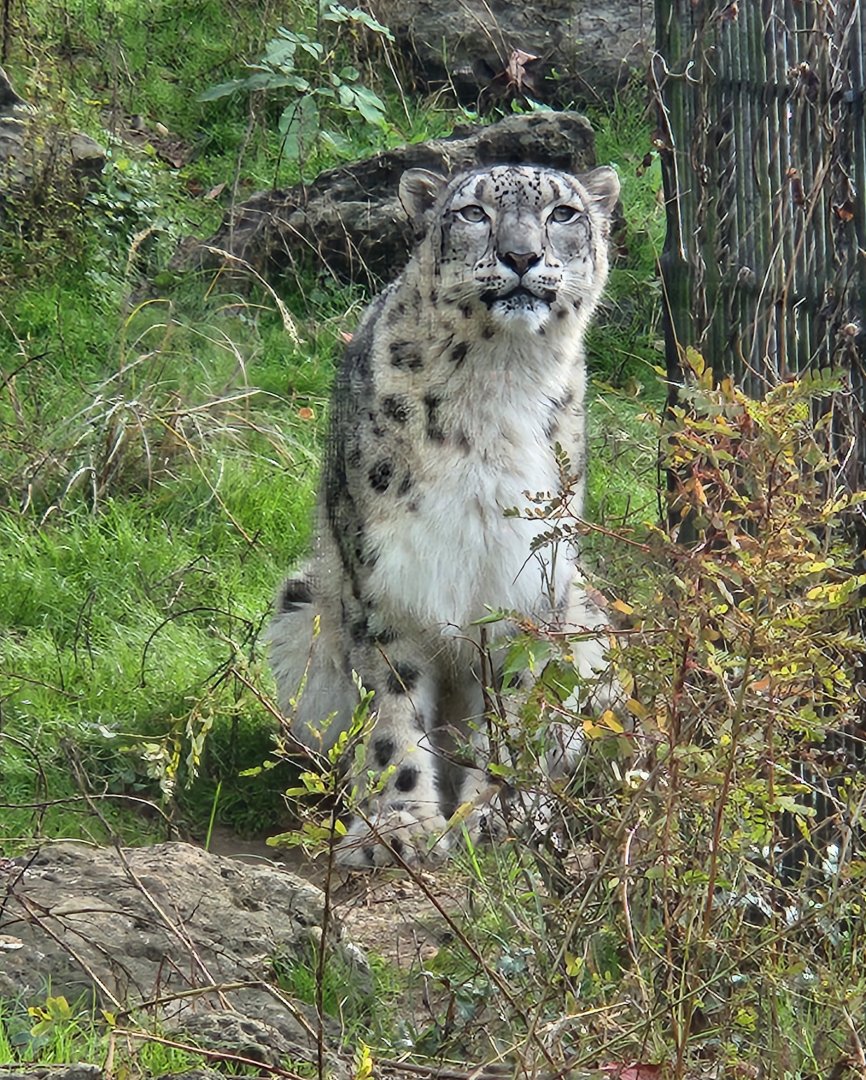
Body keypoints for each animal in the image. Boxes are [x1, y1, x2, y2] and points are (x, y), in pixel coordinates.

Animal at [267, 162, 622, 868]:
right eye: (473, 214)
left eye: (564, 214)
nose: (521, 255)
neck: (497, 386)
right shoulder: (386, 588)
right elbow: (393, 714)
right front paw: (398, 825)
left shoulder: (528, 587)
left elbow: (516, 709)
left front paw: (499, 818)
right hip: (301, 605)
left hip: (590, 624)